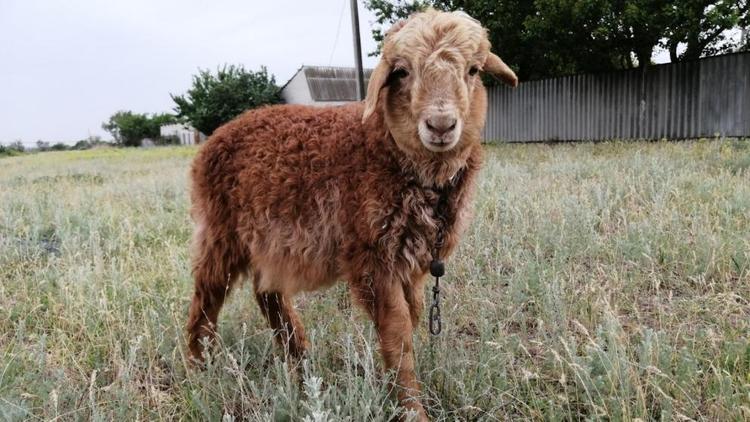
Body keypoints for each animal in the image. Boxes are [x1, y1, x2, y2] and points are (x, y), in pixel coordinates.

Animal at [185, 8, 520, 418]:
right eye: (402, 72)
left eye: (473, 70)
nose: (440, 125)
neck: (385, 149)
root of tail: (216, 136)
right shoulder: (373, 254)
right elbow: (397, 332)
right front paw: (412, 409)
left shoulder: (412, 261)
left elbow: (413, 317)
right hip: (220, 229)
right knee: (207, 294)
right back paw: (200, 365)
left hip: (268, 237)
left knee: (267, 292)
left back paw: (299, 360)